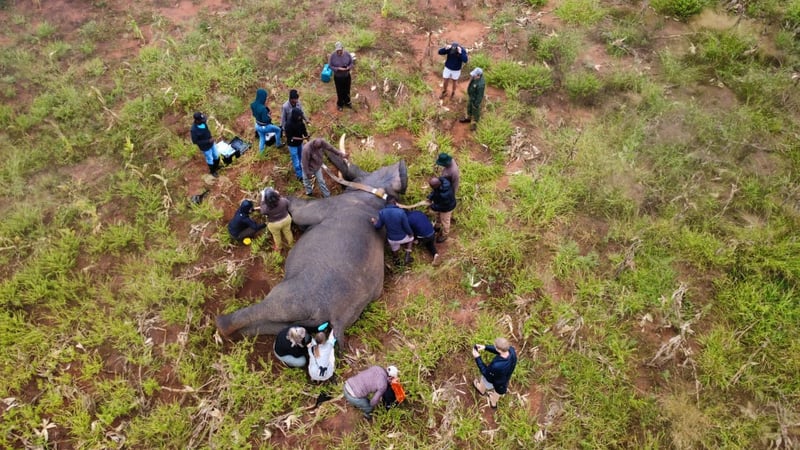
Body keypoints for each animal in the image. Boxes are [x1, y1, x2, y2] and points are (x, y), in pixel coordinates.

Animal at [215, 137, 407, 340]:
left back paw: (220, 323)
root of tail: (336, 319)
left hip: (290, 298)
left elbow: (298, 212)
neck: (376, 194)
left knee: (265, 309)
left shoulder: (327, 206)